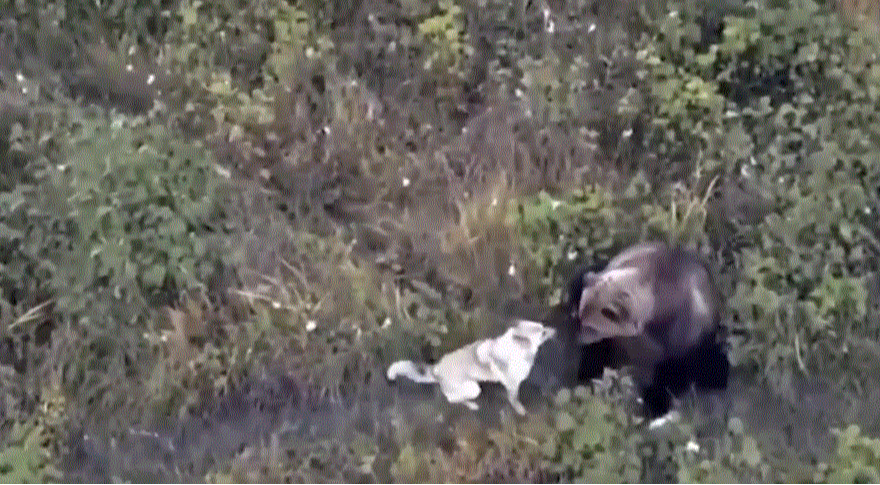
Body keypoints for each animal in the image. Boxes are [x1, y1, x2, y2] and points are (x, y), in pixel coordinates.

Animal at [386, 320, 552, 414]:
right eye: (543, 332)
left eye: (543, 328)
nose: (554, 330)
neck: (516, 349)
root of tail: (436, 369)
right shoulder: (512, 385)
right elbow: (514, 398)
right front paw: (519, 409)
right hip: (473, 388)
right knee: (452, 399)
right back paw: (471, 405)